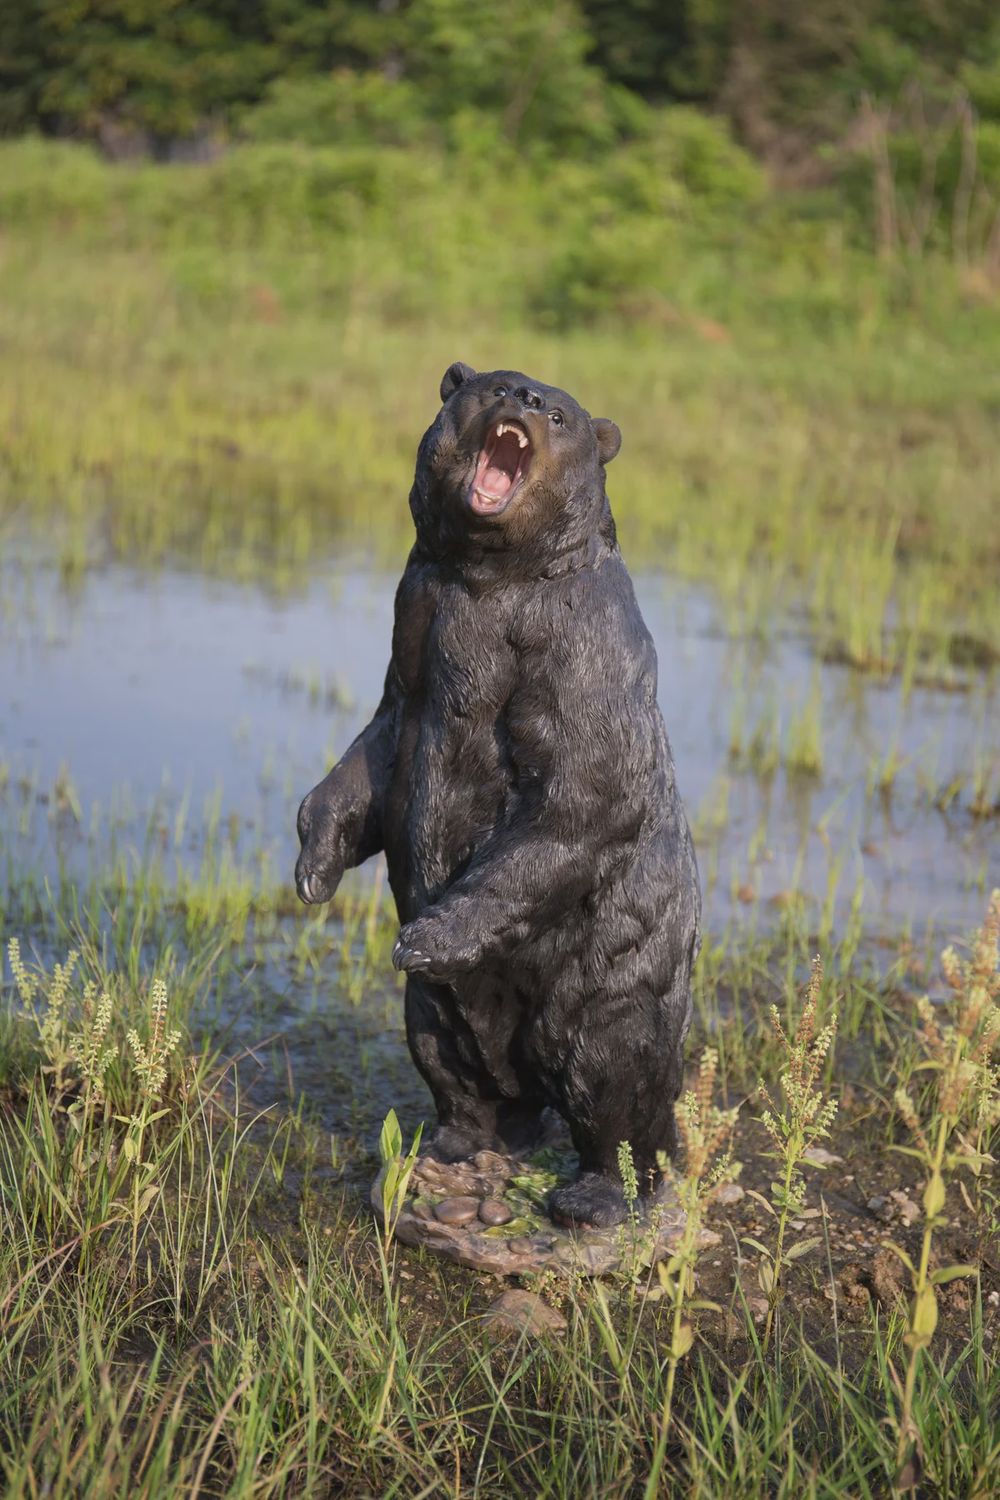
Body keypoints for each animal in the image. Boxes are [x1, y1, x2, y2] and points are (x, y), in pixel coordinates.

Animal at [295, 362, 701, 1228]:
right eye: (493, 384)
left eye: (562, 412)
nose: (525, 402)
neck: (490, 576)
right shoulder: (414, 618)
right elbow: (377, 747)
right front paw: (313, 864)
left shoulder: (578, 639)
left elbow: (581, 795)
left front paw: (427, 933)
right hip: (444, 1019)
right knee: (449, 1054)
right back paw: (454, 1142)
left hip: (610, 971)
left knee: (611, 1072)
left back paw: (596, 1192)